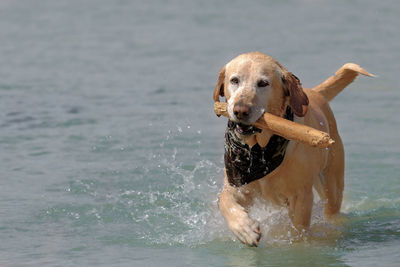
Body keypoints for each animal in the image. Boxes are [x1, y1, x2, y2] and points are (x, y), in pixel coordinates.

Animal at [214, 51, 374, 247]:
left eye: (263, 83)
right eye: (234, 80)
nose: (240, 110)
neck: (260, 150)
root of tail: (313, 92)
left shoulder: (301, 196)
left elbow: (299, 228)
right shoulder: (238, 183)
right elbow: (225, 202)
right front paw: (245, 229)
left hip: (331, 185)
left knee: (331, 208)